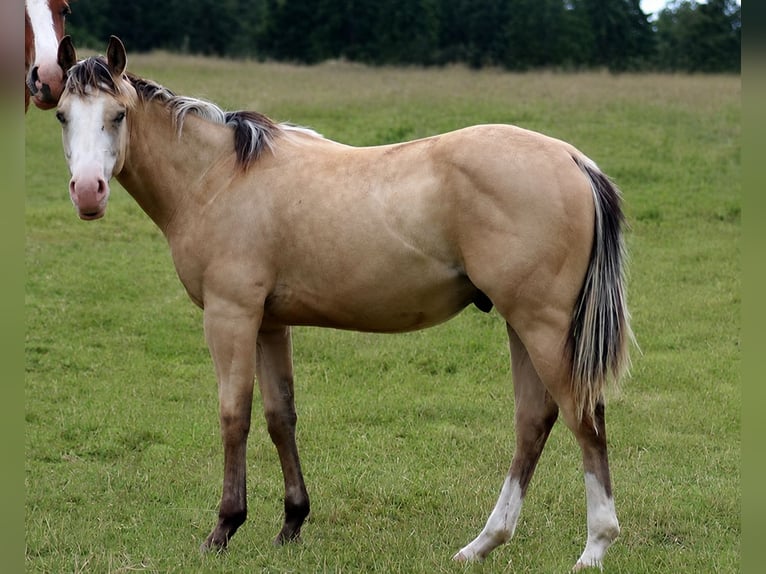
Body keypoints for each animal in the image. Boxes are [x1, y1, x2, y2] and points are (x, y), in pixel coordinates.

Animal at [54, 35, 633, 570]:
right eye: (62, 115)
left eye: (118, 114)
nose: (88, 191)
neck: (217, 175)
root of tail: (573, 160)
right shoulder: (270, 324)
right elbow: (279, 416)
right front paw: (291, 523)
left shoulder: (230, 316)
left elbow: (234, 415)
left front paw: (223, 529)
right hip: (521, 326)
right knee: (534, 421)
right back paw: (483, 544)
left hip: (542, 327)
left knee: (584, 418)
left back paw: (594, 547)